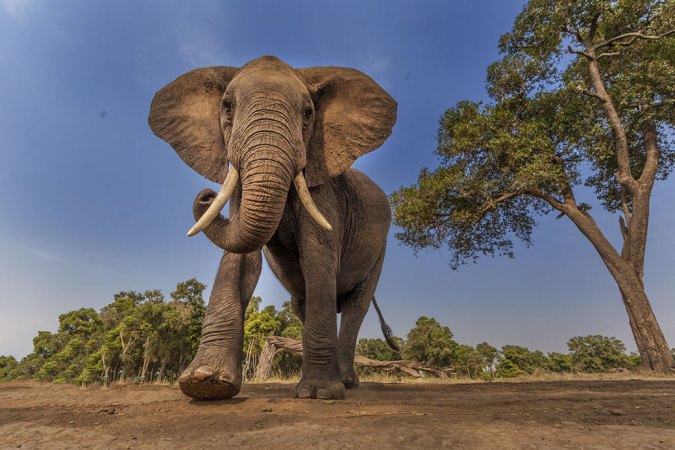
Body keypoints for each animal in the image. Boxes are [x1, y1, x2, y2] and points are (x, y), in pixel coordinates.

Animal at [148, 55, 398, 400]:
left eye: (308, 113)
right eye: (227, 107)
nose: (205, 195)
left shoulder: (324, 188)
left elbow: (318, 257)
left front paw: (320, 393)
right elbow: (240, 259)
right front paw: (205, 383)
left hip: (381, 249)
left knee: (356, 306)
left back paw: (345, 382)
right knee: (303, 303)